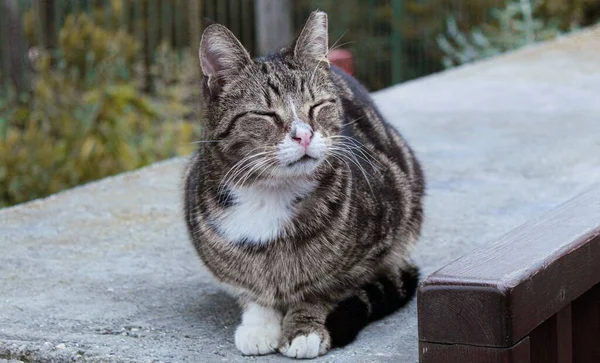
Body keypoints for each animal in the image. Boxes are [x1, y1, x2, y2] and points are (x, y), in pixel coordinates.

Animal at [185, 9, 424, 360]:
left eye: (317, 106)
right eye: (266, 114)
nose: (304, 135)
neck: (271, 193)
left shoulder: (367, 255)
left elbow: (324, 288)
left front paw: (303, 328)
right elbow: (249, 287)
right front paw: (259, 324)